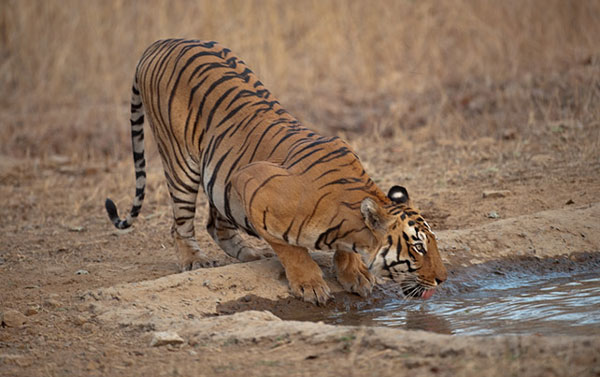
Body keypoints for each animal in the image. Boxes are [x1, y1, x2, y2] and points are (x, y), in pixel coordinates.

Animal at [106, 38, 446, 304]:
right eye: (417, 247)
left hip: (219, 179)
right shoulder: (251, 183)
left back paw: (250, 255)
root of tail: (160, 42)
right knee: (181, 225)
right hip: (180, 162)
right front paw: (310, 284)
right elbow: (290, 248)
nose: (442, 279)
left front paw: (356, 274)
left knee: (216, 223)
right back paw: (195, 261)